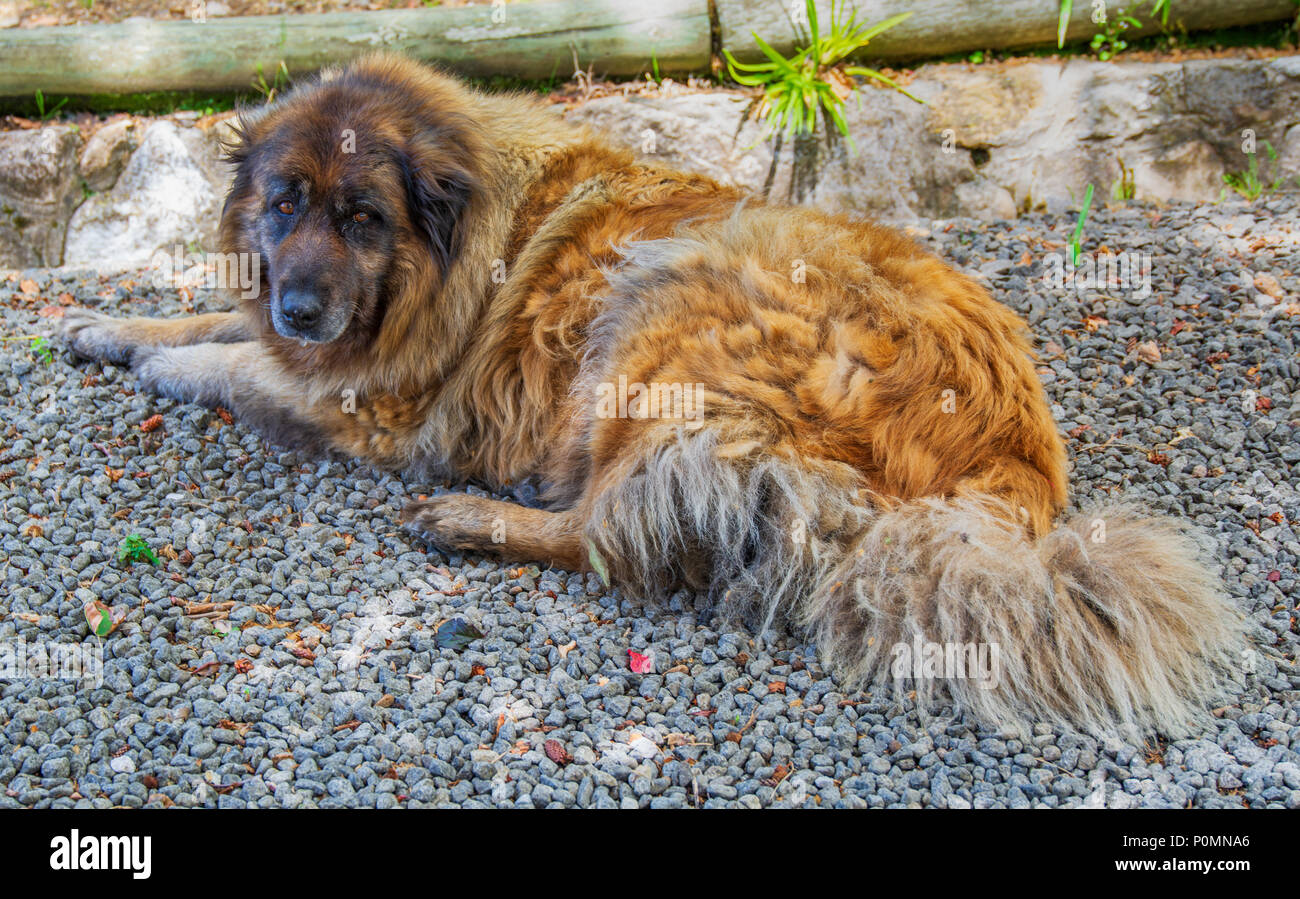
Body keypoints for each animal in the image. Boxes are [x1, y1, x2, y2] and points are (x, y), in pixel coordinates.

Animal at [61, 52, 1237, 732]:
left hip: (670, 291)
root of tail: (1009, 473)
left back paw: (473, 519)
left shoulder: (376, 404)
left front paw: (168, 362)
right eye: (281, 203)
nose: (303, 305)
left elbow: (234, 361)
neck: (459, 241)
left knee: (608, 529)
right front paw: (104, 327)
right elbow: (209, 321)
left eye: (362, 218)